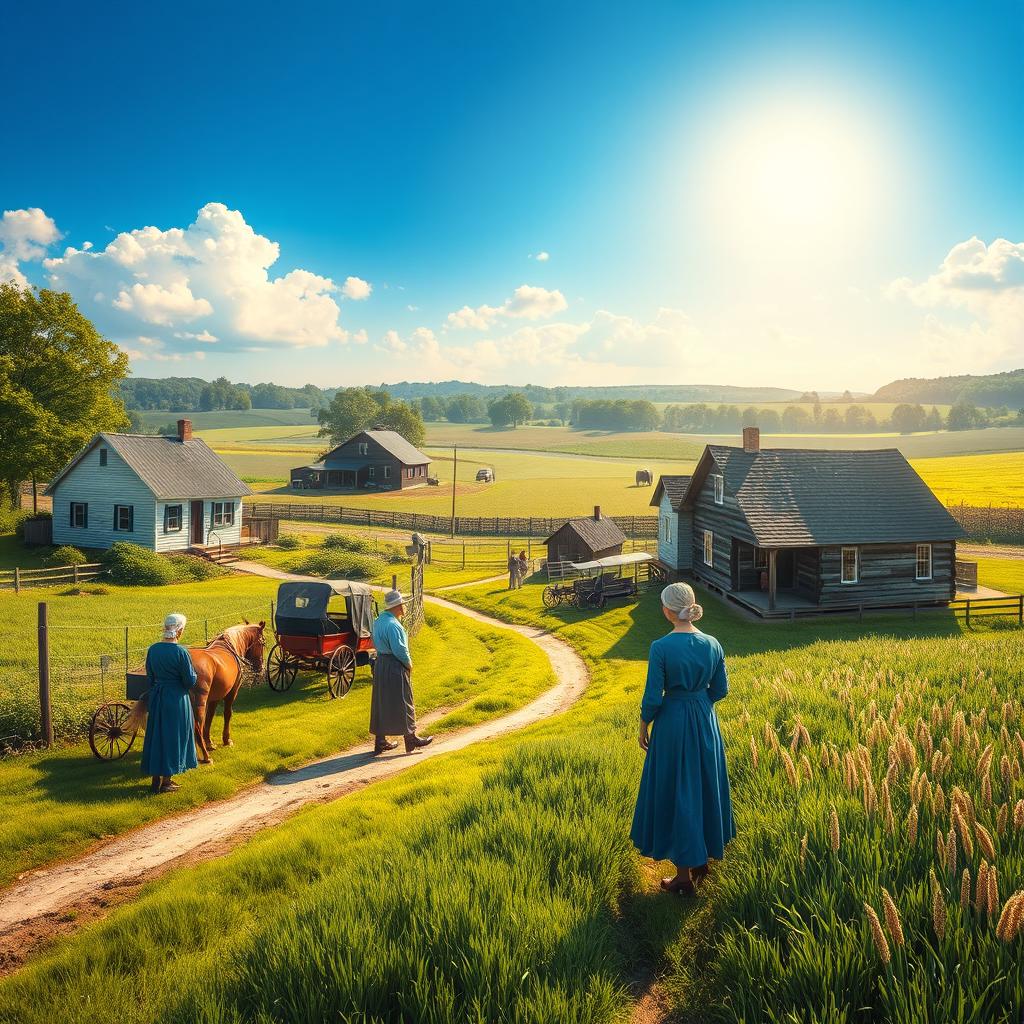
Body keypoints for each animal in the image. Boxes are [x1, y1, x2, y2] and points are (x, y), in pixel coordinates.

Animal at [188, 618, 266, 765]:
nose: (260, 666)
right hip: (198, 704)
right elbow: (228, 713)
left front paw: (210, 743)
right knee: (196, 727)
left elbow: (210, 717)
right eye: (263, 643)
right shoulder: (231, 693)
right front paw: (226, 740)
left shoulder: (214, 698)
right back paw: (206, 757)